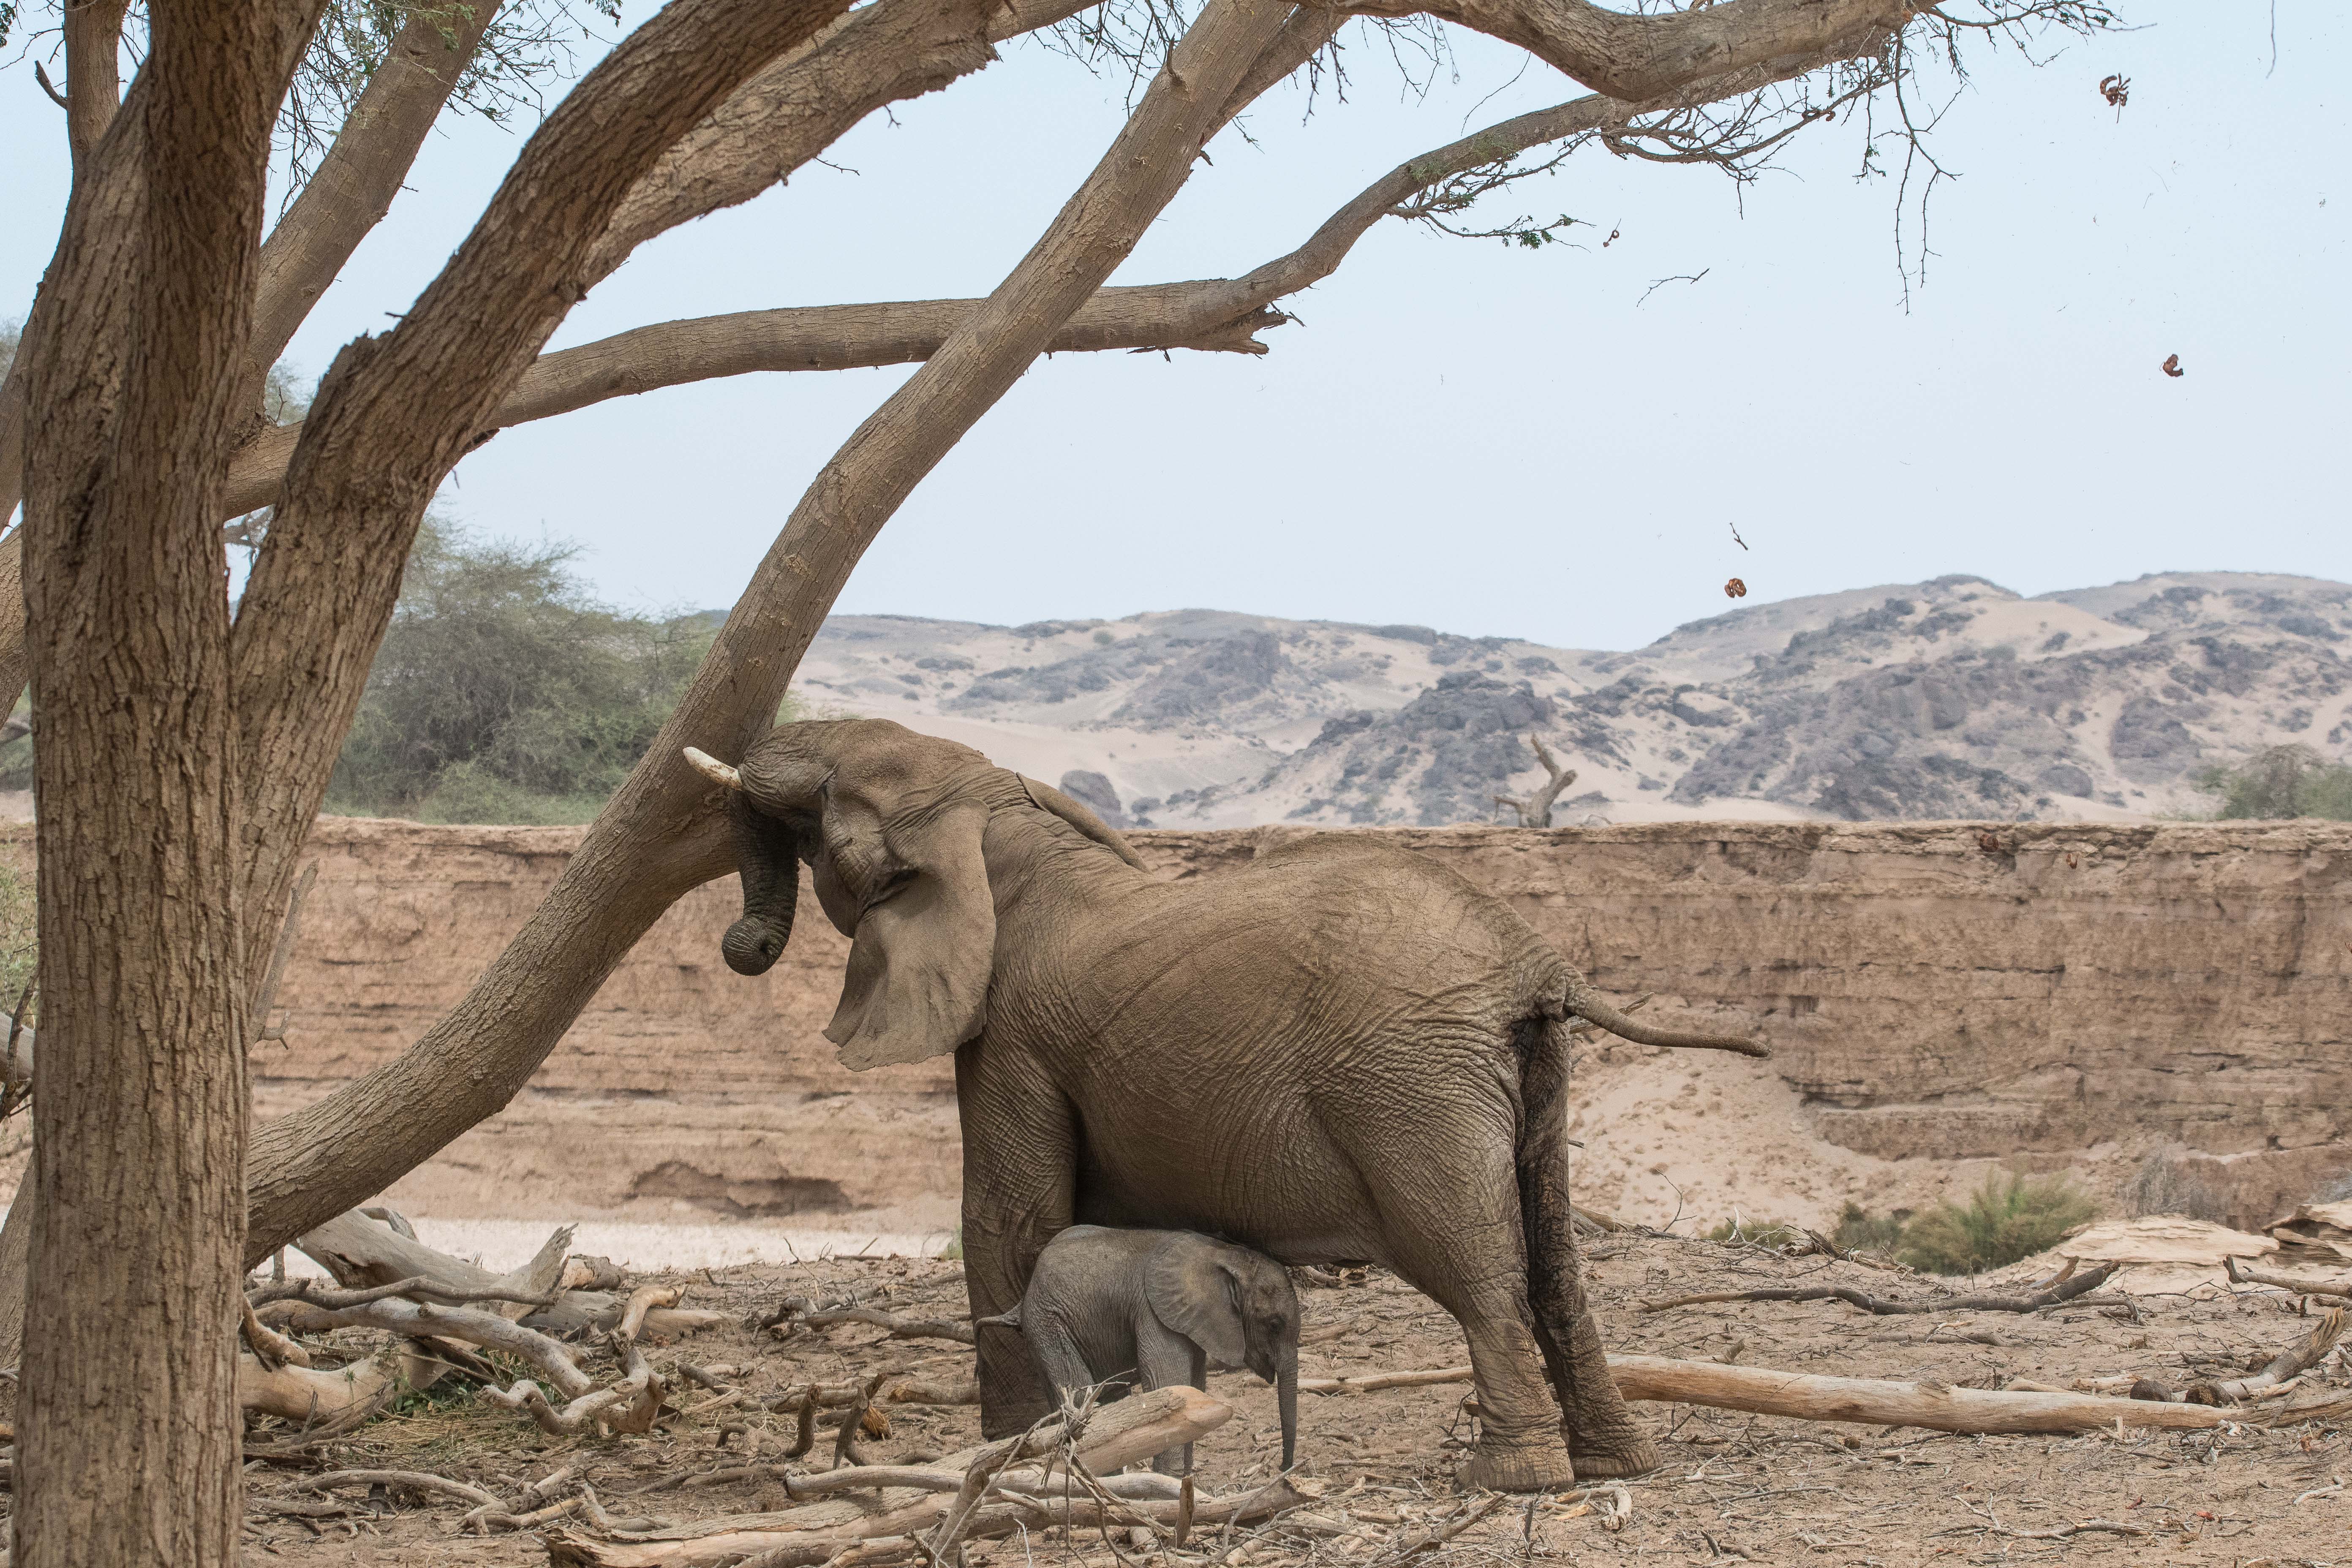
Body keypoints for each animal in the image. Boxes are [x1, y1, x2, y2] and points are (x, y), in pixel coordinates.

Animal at [992, 1232, 1307, 1476]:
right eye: (1274, 1325)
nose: (1283, 1468)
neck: (1225, 1254)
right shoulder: (1153, 1313)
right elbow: (1169, 1387)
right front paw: (1171, 1486)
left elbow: (1195, 1389)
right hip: (1047, 1323)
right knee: (1081, 1395)